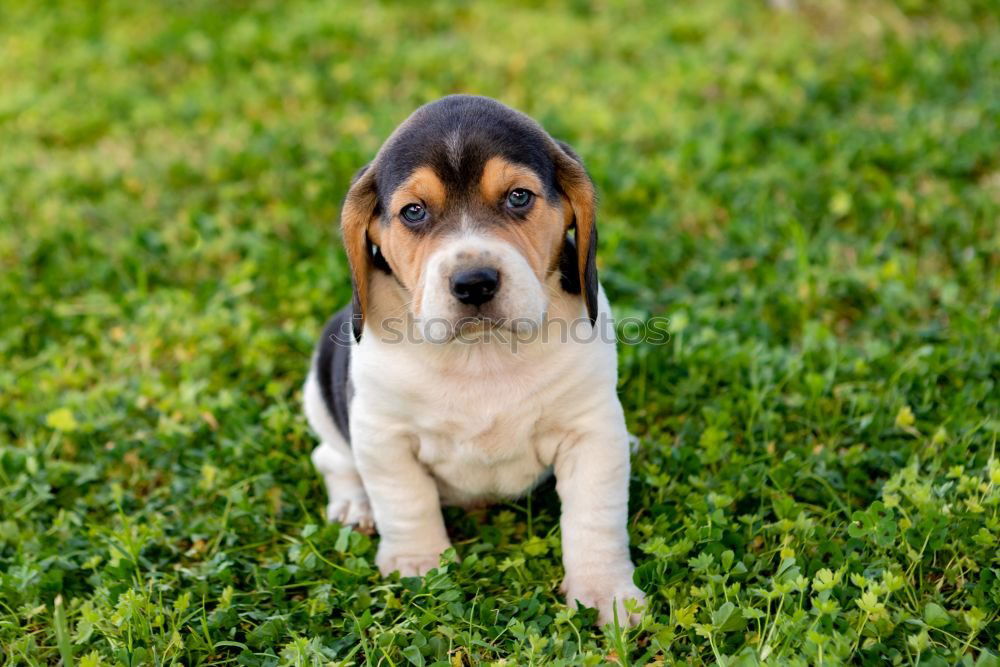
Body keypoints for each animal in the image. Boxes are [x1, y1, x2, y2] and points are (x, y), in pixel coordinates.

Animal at [304, 95, 644, 628]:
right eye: (414, 211)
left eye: (519, 198)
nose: (475, 283)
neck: (481, 355)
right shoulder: (383, 435)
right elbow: (406, 500)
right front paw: (417, 565)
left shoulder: (590, 432)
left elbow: (594, 517)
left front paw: (605, 591)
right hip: (322, 399)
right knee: (332, 459)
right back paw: (354, 506)